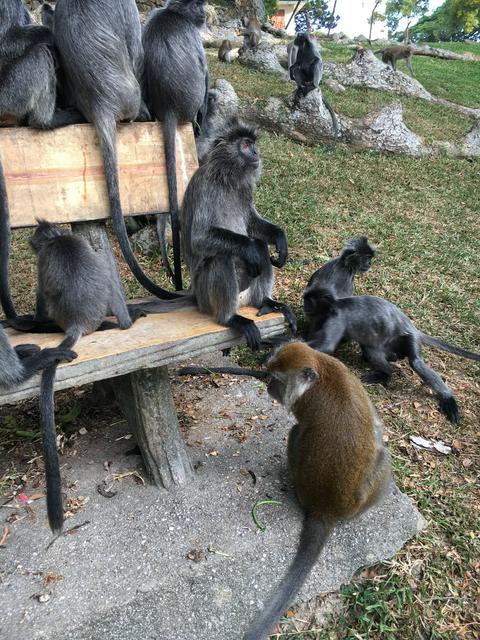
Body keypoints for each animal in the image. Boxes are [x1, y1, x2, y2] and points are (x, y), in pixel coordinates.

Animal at [242, 344, 392, 640]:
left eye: (277, 379)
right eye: (270, 375)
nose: (268, 386)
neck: (321, 370)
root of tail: (325, 509)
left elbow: (299, 429)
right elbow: (375, 426)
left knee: (294, 431)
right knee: (382, 454)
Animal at [304, 290, 480, 424]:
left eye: (308, 301)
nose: (305, 306)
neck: (337, 302)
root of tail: (415, 330)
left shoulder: (337, 316)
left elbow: (326, 346)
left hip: (409, 339)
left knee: (415, 362)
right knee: (372, 348)